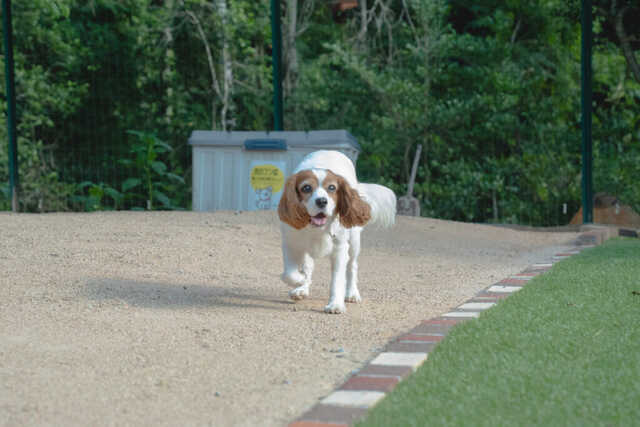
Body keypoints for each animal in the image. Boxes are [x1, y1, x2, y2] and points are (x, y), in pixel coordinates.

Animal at [278, 150, 396, 314]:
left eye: (332, 188)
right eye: (306, 188)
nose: (322, 201)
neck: (316, 228)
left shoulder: (340, 250)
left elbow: (337, 280)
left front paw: (335, 304)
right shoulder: (290, 244)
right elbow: (289, 274)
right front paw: (301, 281)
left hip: (354, 243)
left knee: (352, 267)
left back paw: (352, 293)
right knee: (308, 265)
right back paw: (303, 287)